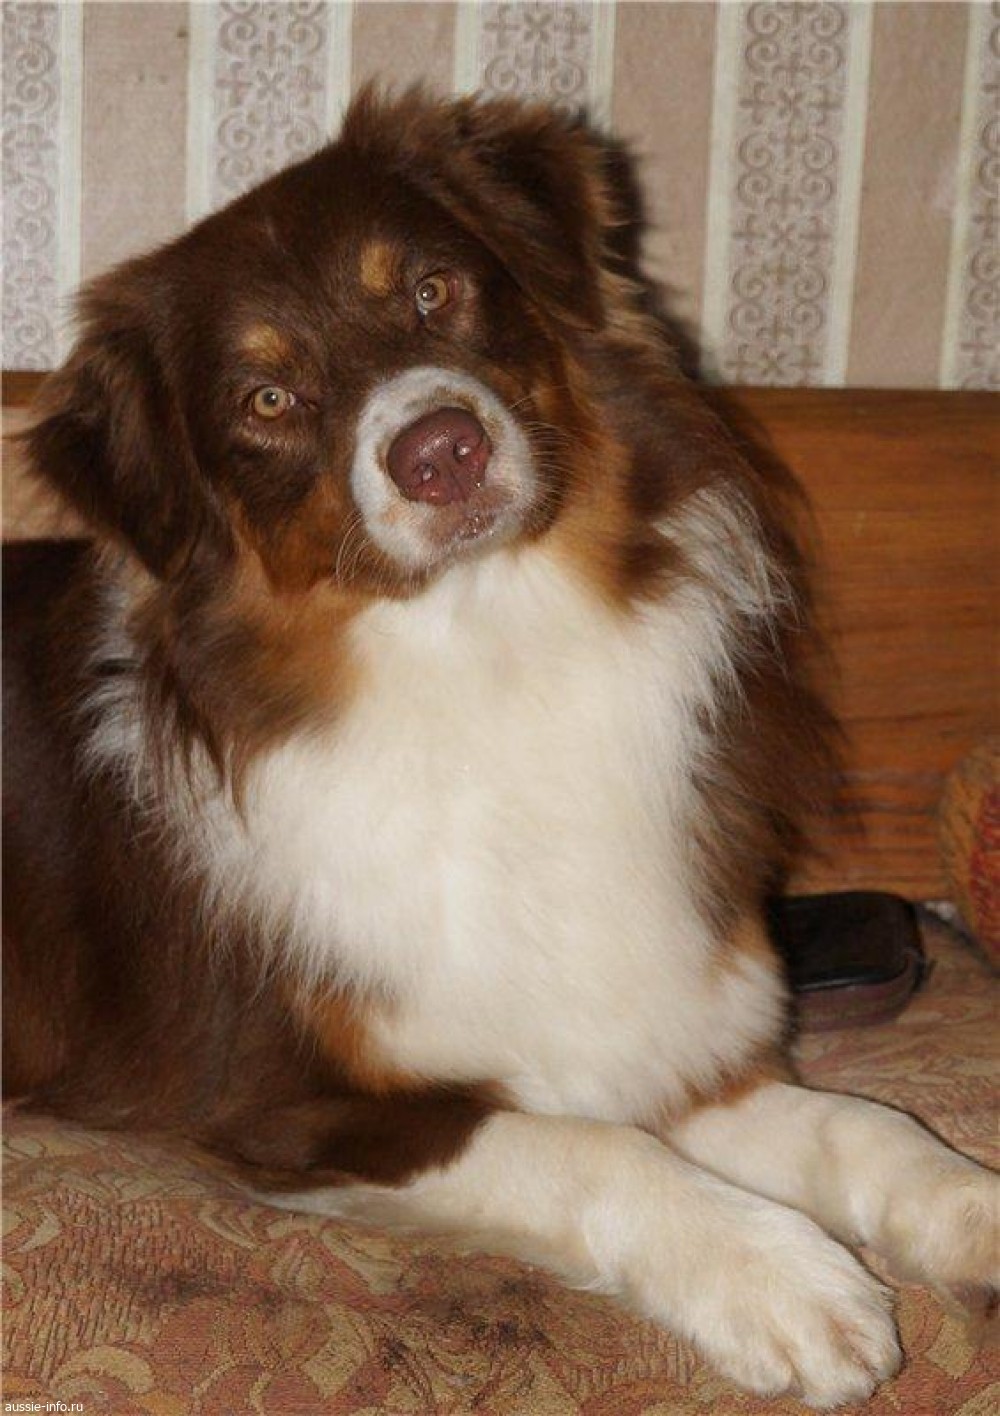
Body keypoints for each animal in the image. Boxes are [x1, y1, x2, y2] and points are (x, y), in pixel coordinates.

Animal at [4, 91, 997, 1407]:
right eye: (264, 401)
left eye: (433, 291)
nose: (440, 452)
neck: (491, 658)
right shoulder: (280, 1105)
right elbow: (581, 1147)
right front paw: (779, 1278)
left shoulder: (671, 1034)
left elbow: (860, 1122)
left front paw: (968, 1210)